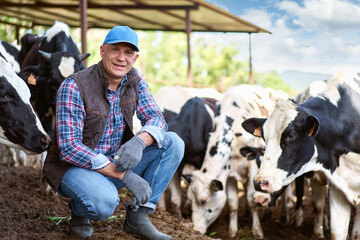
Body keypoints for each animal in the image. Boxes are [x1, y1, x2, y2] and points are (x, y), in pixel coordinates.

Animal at [187, 84, 288, 238]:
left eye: (203, 200)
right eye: (190, 200)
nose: (196, 230)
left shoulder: (252, 163)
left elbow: (252, 199)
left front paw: (257, 231)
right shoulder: (228, 170)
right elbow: (232, 203)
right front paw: (232, 231)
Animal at [242, 71, 360, 240]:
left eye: (291, 135)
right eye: (264, 136)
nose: (260, 183)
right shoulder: (335, 186)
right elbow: (328, 219)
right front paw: (317, 232)